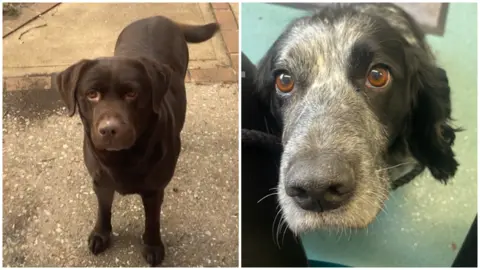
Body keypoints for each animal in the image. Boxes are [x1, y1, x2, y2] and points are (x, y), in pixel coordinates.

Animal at [55, 15, 218, 266]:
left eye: (132, 93)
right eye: (92, 94)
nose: (109, 129)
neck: (124, 157)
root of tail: (159, 17)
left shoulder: (154, 190)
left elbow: (152, 220)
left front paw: (153, 246)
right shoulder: (100, 182)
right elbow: (103, 210)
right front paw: (101, 234)